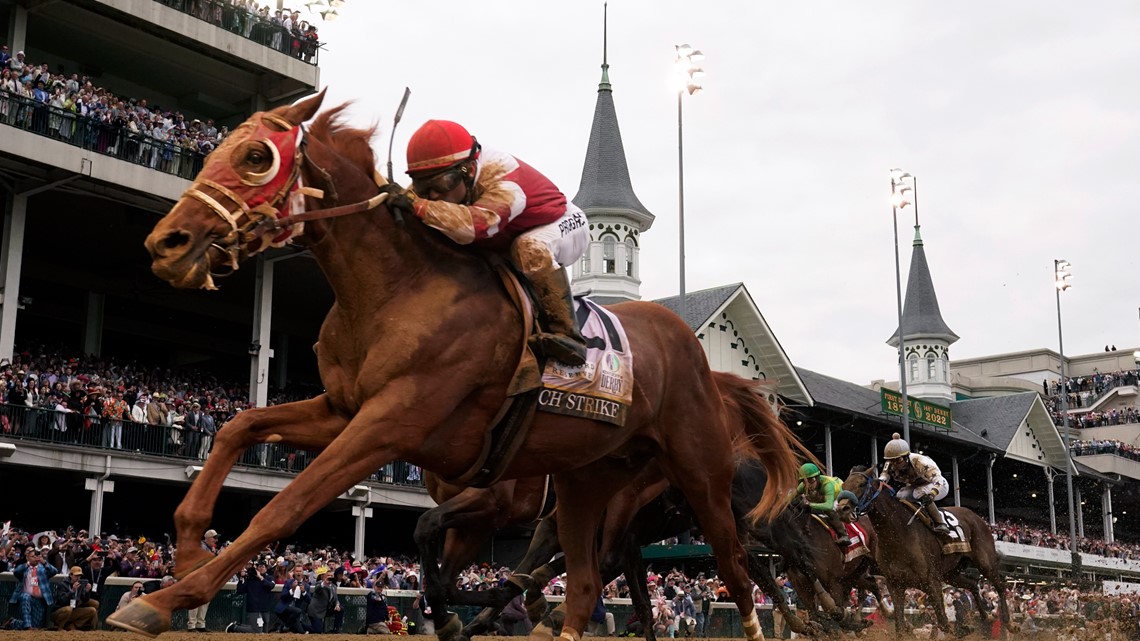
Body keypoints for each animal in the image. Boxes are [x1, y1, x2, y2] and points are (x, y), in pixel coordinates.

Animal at [102, 91, 807, 638]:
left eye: (256, 158)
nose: (166, 243)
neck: (397, 289)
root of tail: (701, 356)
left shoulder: (393, 425)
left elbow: (288, 505)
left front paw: (165, 598)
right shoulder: (345, 410)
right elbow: (238, 427)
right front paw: (188, 547)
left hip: (701, 478)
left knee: (740, 573)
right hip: (587, 483)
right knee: (585, 584)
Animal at [834, 467, 1012, 634]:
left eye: (861, 484)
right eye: (843, 485)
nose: (842, 509)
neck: (899, 533)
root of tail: (976, 517)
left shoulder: (931, 582)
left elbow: (943, 622)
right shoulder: (895, 584)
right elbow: (900, 626)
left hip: (985, 562)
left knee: (1000, 585)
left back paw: (1008, 622)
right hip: (951, 573)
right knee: (974, 585)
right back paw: (986, 616)